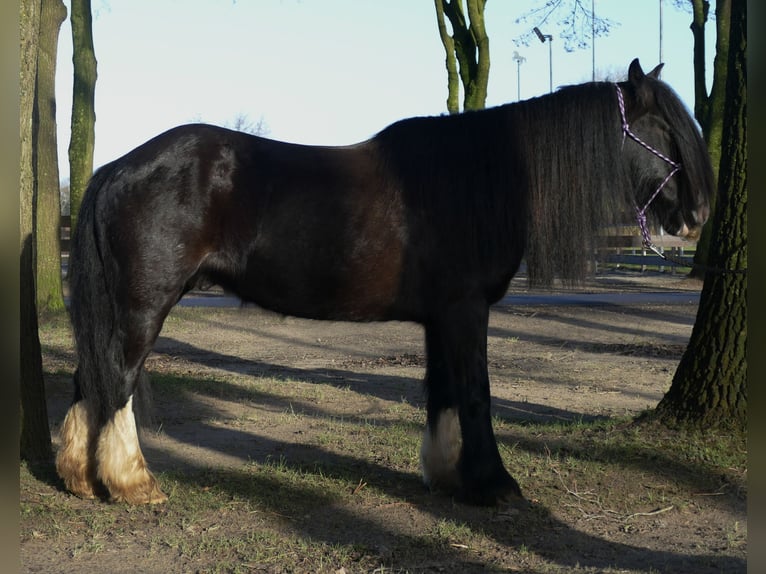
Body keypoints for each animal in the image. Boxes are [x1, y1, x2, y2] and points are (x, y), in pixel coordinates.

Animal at [58, 59, 712, 508]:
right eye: (664, 130)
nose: (698, 215)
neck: (476, 181)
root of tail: (118, 167)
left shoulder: (443, 317)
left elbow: (442, 392)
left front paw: (447, 476)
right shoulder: (467, 310)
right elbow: (476, 393)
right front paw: (496, 485)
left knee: (90, 378)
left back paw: (82, 479)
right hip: (143, 307)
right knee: (117, 380)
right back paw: (132, 483)